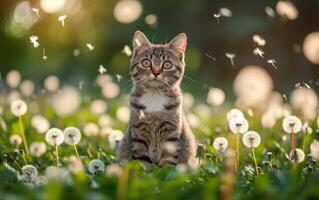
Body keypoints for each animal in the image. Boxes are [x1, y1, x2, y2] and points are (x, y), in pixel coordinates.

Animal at [117, 30, 198, 169]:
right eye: (146, 63)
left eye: (167, 64)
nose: (155, 72)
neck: (154, 96)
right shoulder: (138, 132)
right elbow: (141, 160)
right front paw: (143, 172)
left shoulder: (171, 133)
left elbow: (168, 161)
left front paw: (165, 172)